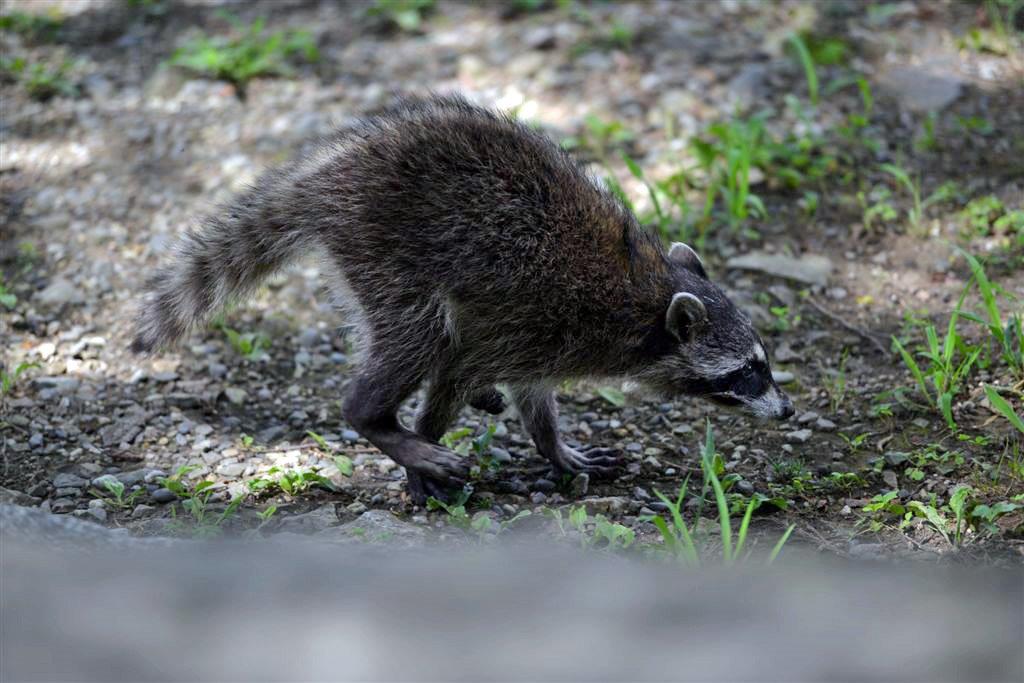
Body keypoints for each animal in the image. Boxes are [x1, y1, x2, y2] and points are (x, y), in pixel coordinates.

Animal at [134, 93, 790, 501]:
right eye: (746, 371)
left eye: (764, 361)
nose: (786, 411)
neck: (646, 295)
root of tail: (325, 174)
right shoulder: (541, 316)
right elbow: (454, 371)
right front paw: (424, 440)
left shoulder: (541, 335)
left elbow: (530, 392)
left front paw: (552, 445)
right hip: (386, 247)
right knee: (419, 337)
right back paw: (379, 421)